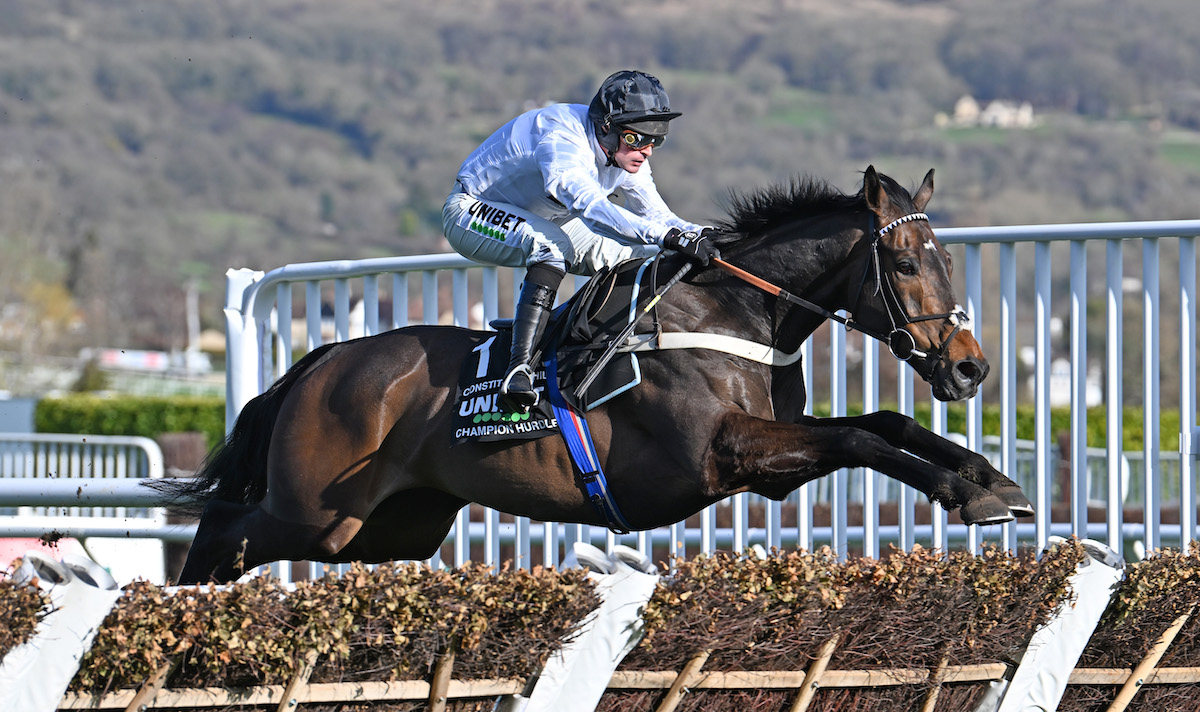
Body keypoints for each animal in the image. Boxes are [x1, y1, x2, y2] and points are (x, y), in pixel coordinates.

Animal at [174, 166, 1036, 583]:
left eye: (947, 258)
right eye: (904, 263)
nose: (970, 366)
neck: (732, 314)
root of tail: (320, 362)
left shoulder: (771, 452)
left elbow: (883, 424)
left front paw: (991, 479)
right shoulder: (725, 455)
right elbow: (864, 438)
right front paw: (970, 493)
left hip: (388, 530)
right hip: (313, 513)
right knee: (220, 531)